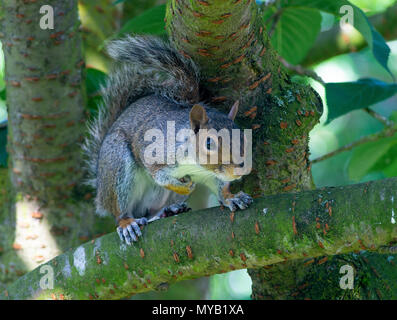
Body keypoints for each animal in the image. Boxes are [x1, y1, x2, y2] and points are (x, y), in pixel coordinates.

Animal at [82, 35, 252, 245]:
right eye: (209, 143)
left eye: (243, 136)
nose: (239, 169)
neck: (194, 164)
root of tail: (100, 192)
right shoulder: (154, 152)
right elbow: (159, 175)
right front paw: (184, 186)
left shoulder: (210, 174)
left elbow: (220, 187)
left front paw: (231, 197)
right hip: (116, 166)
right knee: (119, 211)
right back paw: (127, 223)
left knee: (150, 214)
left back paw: (167, 211)